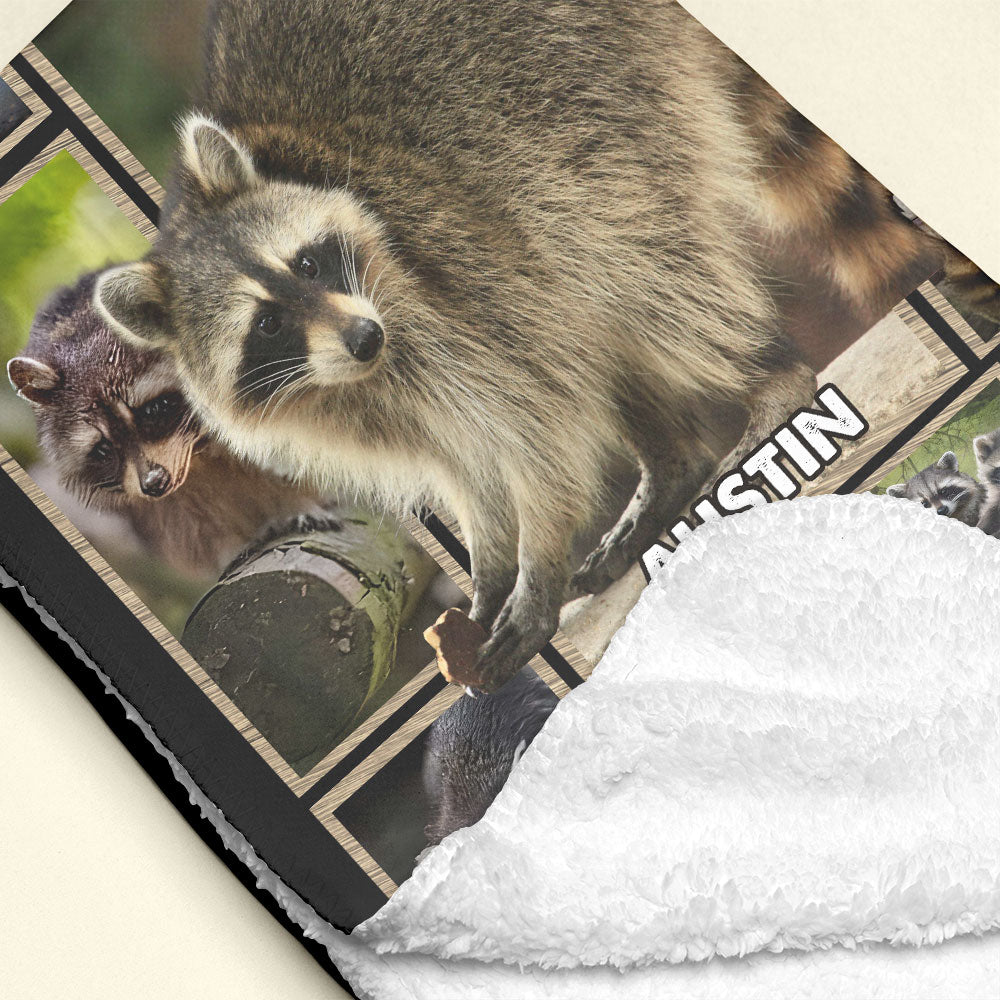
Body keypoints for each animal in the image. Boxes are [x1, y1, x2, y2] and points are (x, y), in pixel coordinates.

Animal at [8, 272, 327, 576]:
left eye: (154, 410)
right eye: (103, 448)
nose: (153, 484)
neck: (198, 453)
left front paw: (300, 503)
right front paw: (231, 546)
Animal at [94, 0, 1000, 691]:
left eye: (308, 261)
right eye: (268, 325)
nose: (362, 335)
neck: (351, 375)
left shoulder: (441, 279)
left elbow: (538, 422)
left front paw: (532, 572)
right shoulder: (358, 399)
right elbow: (466, 466)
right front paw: (492, 569)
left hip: (582, 90)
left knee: (629, 260)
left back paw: (763, 381)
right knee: (595, 306)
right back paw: (670, 466)